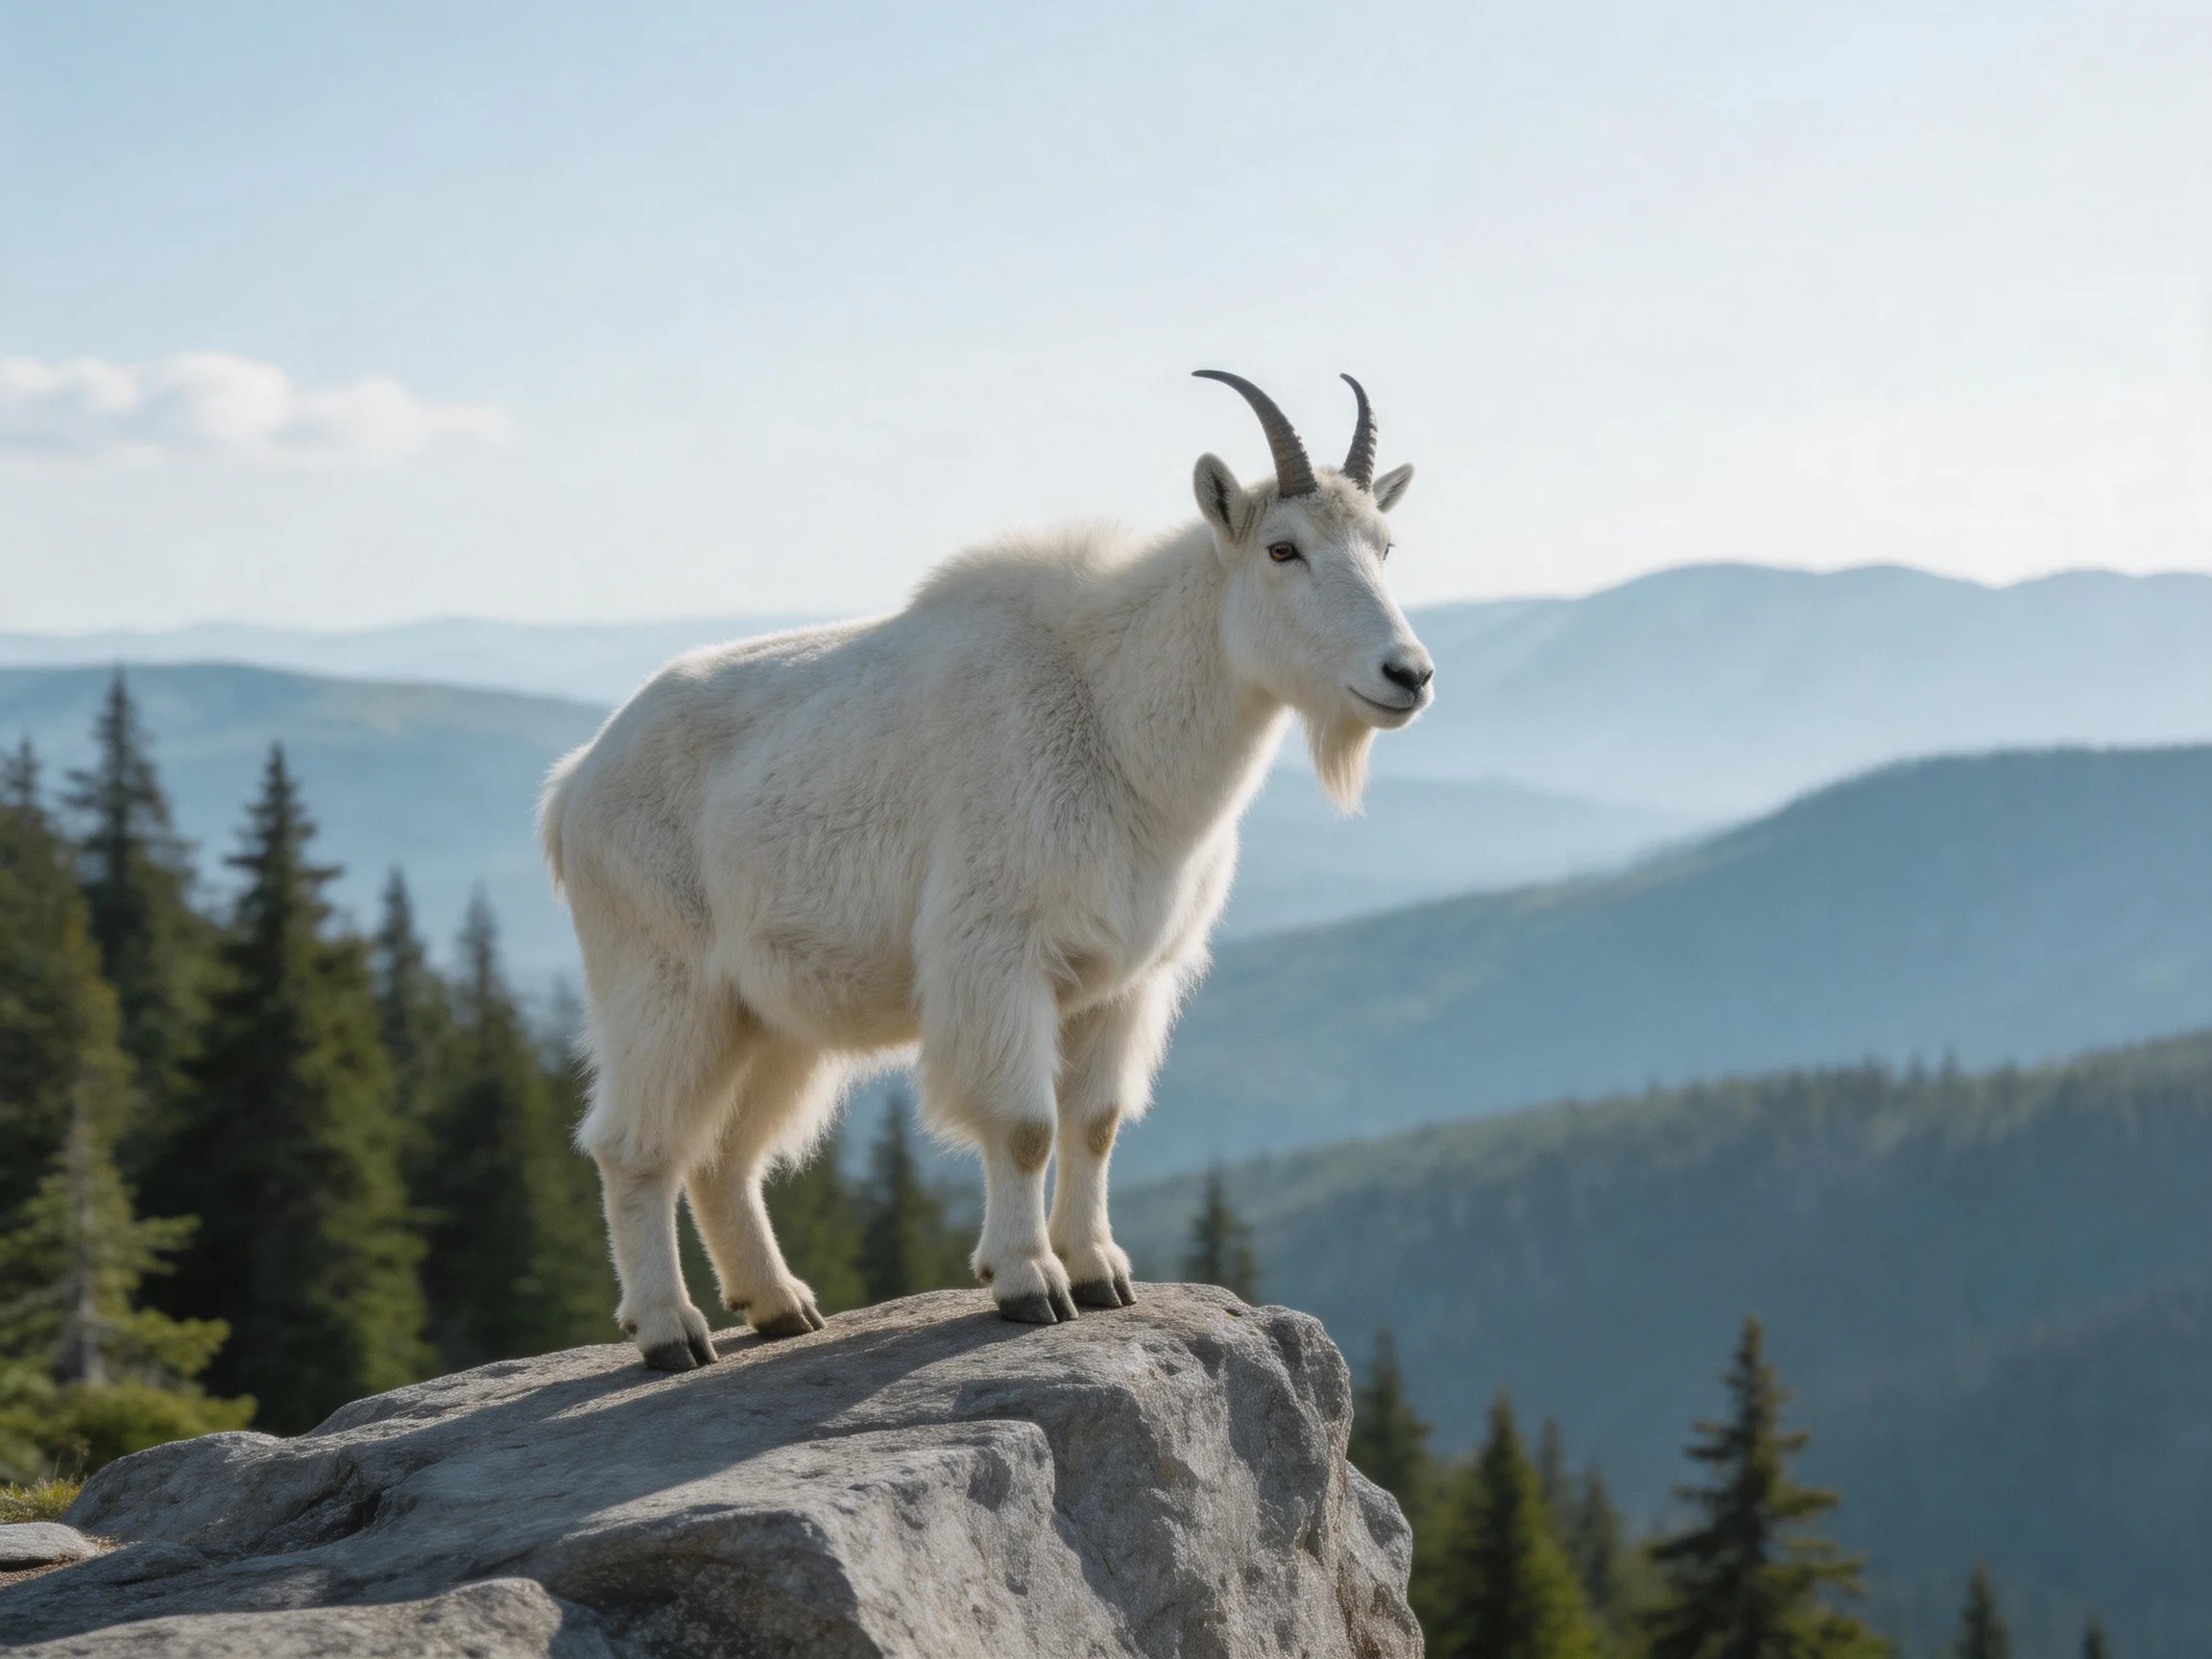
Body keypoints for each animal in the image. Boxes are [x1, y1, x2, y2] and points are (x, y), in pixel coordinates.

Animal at [539, 372, 1434, 1369]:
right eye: (1284, 547)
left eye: (1386, 544)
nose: (1407, 675)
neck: (1117, 715)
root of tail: (574, 785)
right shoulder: (998, 951)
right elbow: (1027, 1126)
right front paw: (1028, 1283)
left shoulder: (1126, 980)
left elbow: (1094, 1123)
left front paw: (1101, 1272)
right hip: (660, 983)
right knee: (633, 1145)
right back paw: (670, 1330)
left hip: (768, 1017)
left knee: (726, 1154)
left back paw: (781, 1307)